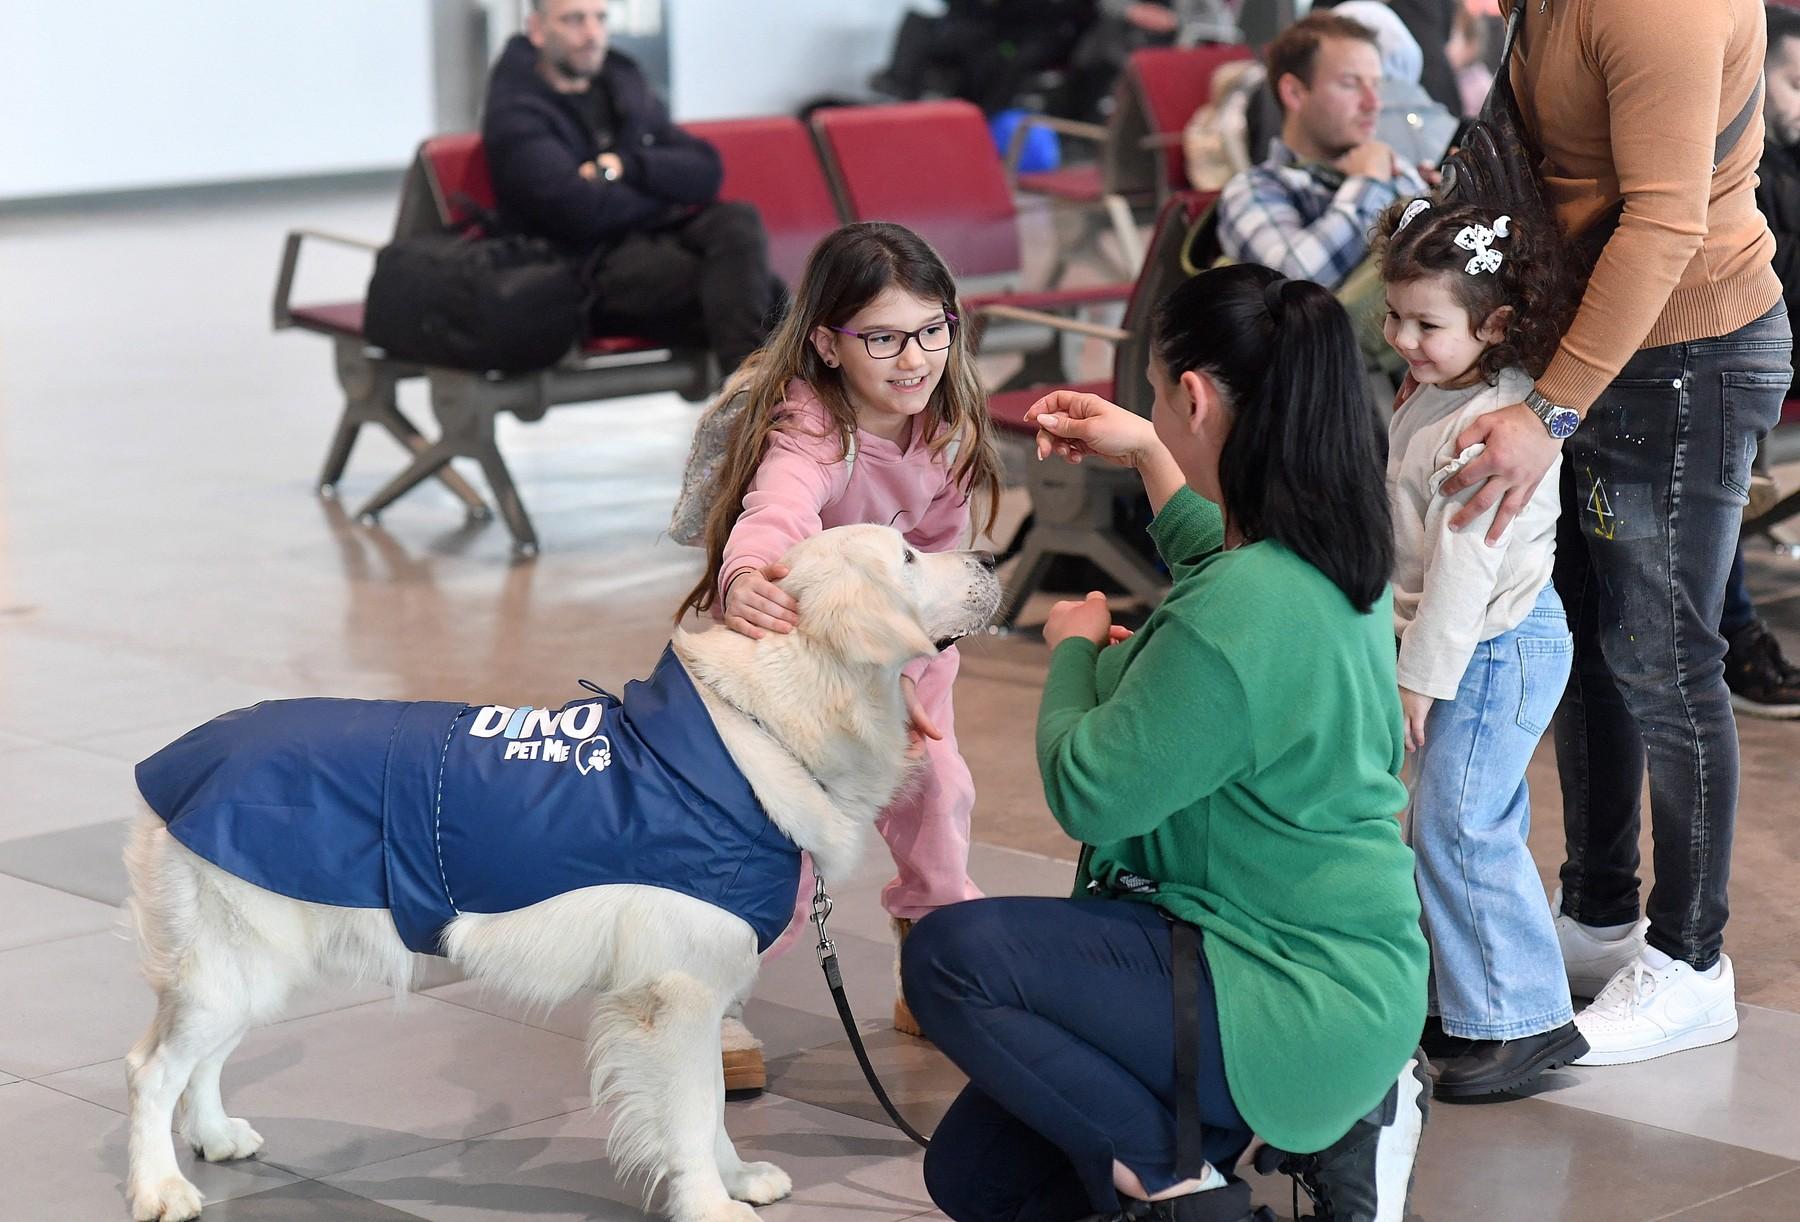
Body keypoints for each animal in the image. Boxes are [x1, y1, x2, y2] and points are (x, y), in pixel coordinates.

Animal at [121, 525, 1008, 1222]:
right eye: (907, 555)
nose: (994, 556)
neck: (762, 723)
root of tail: (180, 759)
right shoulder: (676, 995)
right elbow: (692, 1112)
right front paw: (708, 1202)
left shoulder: (696, 990)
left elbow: (711, 1106)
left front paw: (734, 1179)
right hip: (233, 960)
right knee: (152, 1069)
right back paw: (159, 1187)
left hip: (251, 967)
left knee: (201, 1062)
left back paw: (213, 1137)